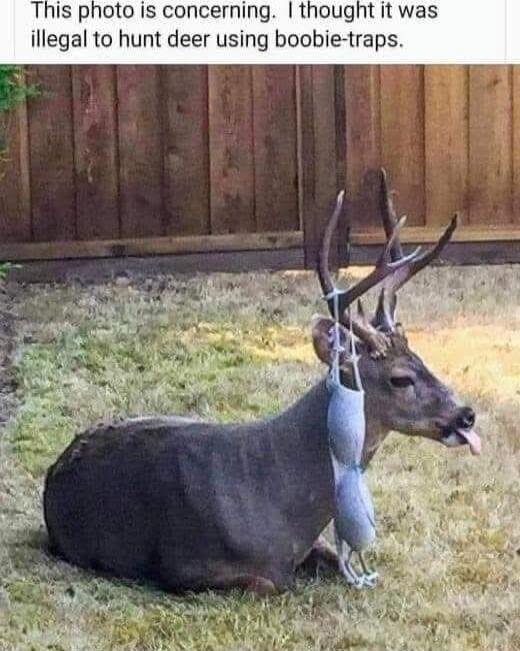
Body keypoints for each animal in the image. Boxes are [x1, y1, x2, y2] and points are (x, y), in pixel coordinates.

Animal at [44, 169, 480, 595]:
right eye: (400, 378)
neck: (276, 496)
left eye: (422, 358)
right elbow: (272, 583)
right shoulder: (182, 566)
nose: (466, 415)